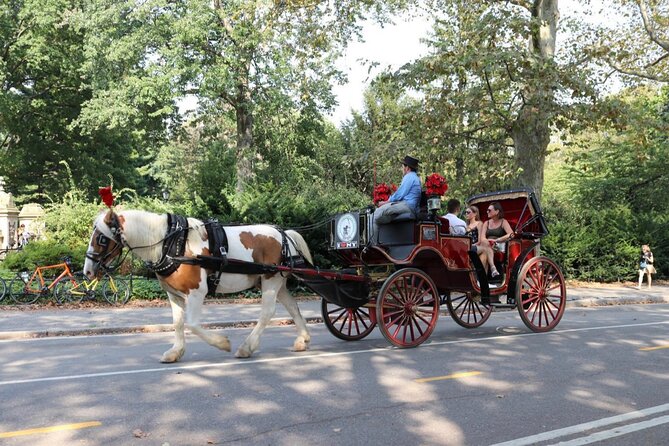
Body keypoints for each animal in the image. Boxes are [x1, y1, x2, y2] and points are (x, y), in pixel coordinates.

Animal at [83, 209, 313, 363]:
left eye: (101, 238)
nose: (87, 271)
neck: (171, 244)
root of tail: (284, 235)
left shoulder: (196, 292)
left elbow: (192, 324)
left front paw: (222, 343)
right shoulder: (174, 295)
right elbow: (178, 323)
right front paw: (175, 352)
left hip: (270, 280)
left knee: (267, 312)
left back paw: (247, 347)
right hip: (276, 282)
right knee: (292, 306)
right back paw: (302, 339)